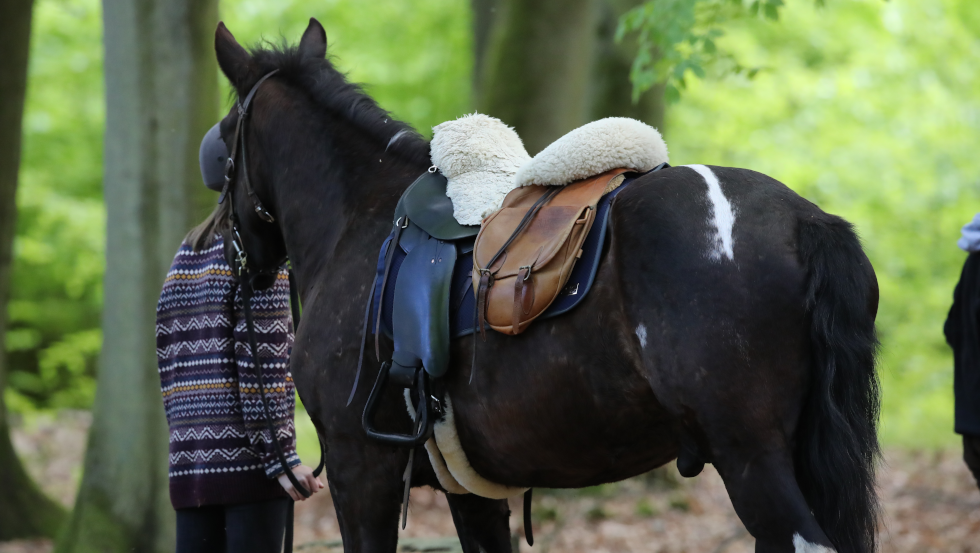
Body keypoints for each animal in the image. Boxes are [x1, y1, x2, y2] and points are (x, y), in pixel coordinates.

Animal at [212, 18, 880, 552]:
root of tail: (803, 219)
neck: (361, 217)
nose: (226, 244)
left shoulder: (361, 469)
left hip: (750, 456)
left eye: (222, 142)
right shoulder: (470, 487)